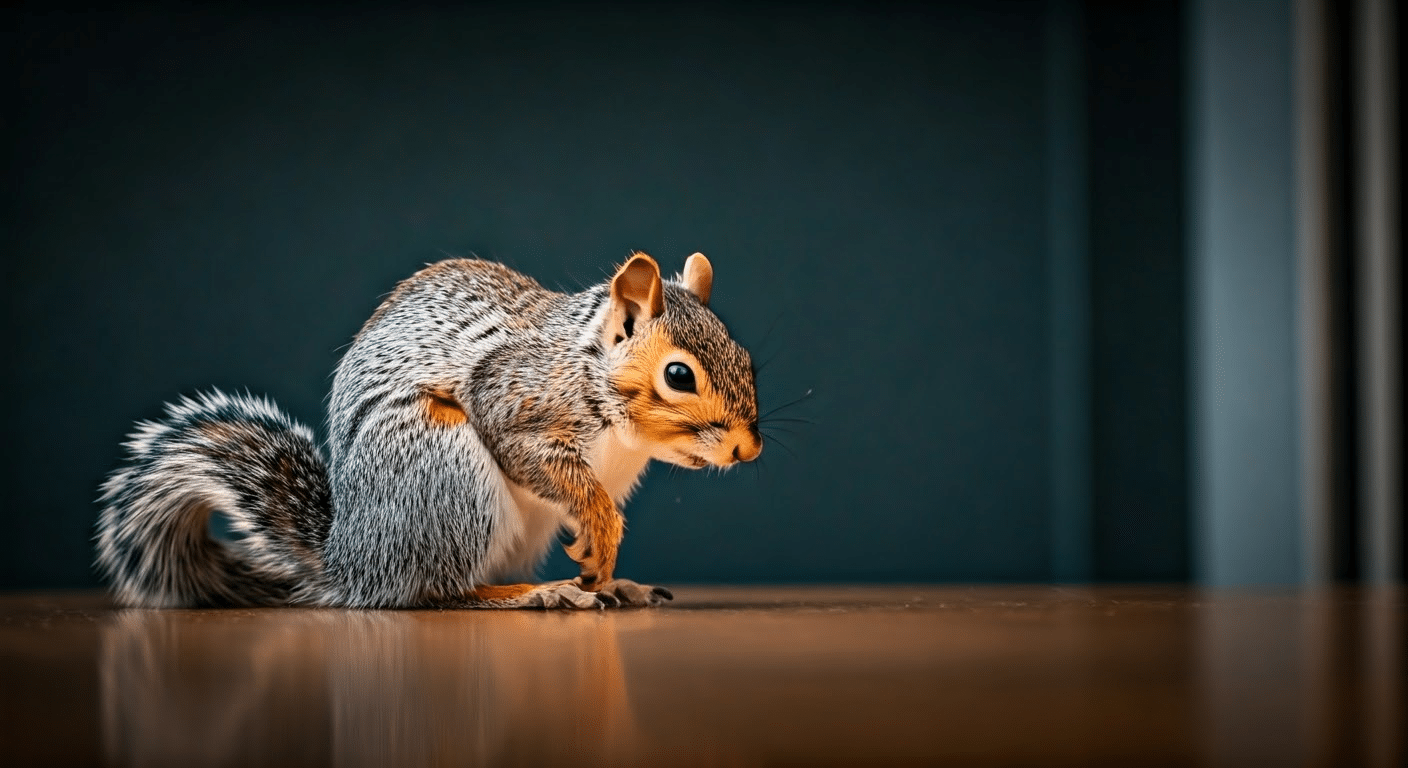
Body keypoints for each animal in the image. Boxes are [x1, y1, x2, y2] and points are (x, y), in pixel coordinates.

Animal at [95, 252, 761, 609]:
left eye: (746, 358)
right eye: (678, 374)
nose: (748, 449)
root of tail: (352, 560)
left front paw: (609, 565)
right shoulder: (513, 398)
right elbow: (542, 462)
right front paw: (599, 525)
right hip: (444, 472)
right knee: (436, 591)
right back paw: (534, 595)